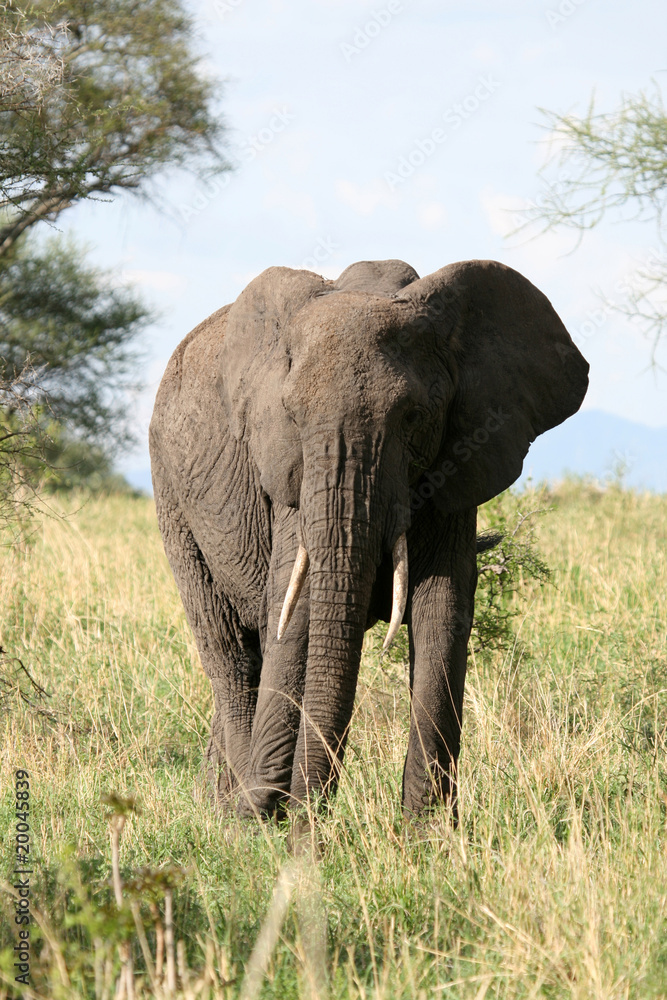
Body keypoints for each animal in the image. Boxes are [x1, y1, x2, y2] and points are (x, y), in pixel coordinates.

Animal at [149, 258, 588, 819]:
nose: (300, 815)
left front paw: (429, 831)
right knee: (231, 654)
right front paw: (264, 824)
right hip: (171, 494)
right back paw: (231, 814)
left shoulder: (457, 461)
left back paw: (224, 804)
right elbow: (295, 610)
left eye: (413, 417)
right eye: (292, 416)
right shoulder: (290, 479)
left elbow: (442, 612)